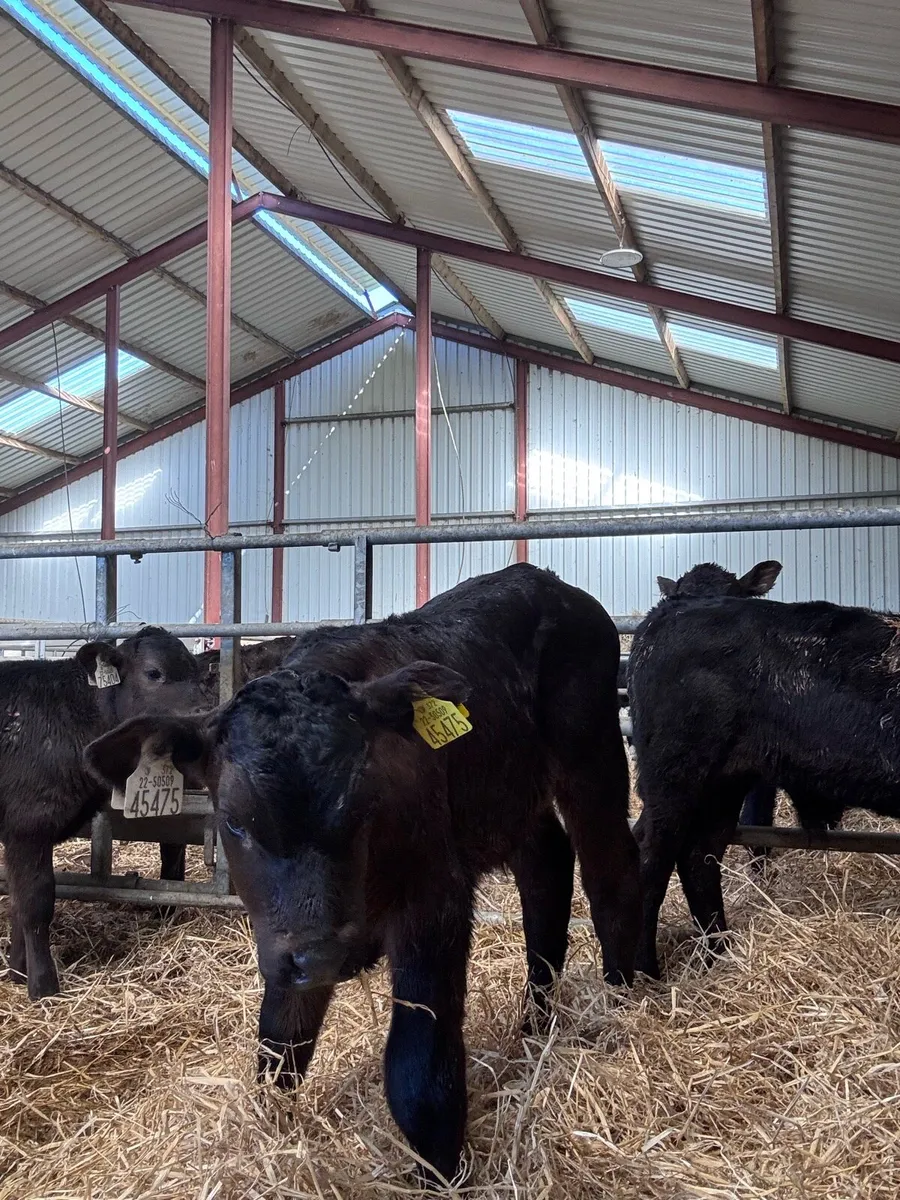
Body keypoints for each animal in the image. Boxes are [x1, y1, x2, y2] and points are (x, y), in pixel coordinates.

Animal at [1, 626, 205, 999]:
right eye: (153, 673)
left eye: (200, 673)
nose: (202, 714)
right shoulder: (28, 827)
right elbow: (35, 901)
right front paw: (42, 985)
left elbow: (17, 901)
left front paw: (18, 971)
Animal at [84, 564, 640, 1185]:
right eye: (233, 819)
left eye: (362, 802)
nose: (323, 955)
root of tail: (547, 579)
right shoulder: (286, 940)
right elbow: (281, 1034)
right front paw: (272, 1123)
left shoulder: (435, 898)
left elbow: (418, 1069)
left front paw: (440, 1175)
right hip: (509, 793)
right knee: (546, 864)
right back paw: (536, 1020)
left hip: (591, 753)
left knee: (610, 864)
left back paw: (623, 989)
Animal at [628, 590, 900, 979]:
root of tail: (667, 611)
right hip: (673, 779)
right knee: (652, 857)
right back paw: (643, 972)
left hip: (723, 785)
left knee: (698, 856)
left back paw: (719, 953)